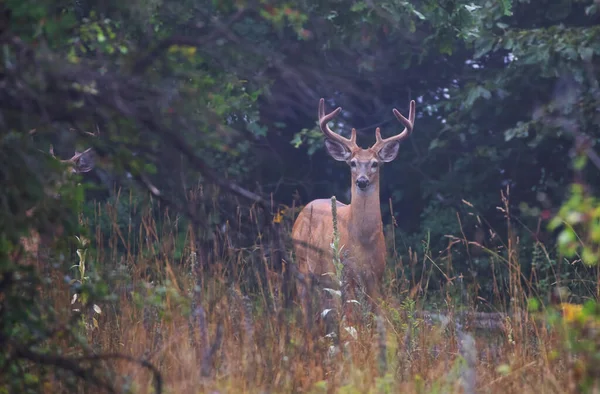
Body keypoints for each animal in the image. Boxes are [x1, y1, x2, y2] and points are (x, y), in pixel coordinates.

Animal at [292, 97, 414, 322]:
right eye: (353, 163)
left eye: (375, 163)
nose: (362, 181)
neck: (363, 240)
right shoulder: (345, 273)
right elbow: (350, 318)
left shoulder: (376, 275)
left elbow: (375, 316)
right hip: (303, 263)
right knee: (306, 306)